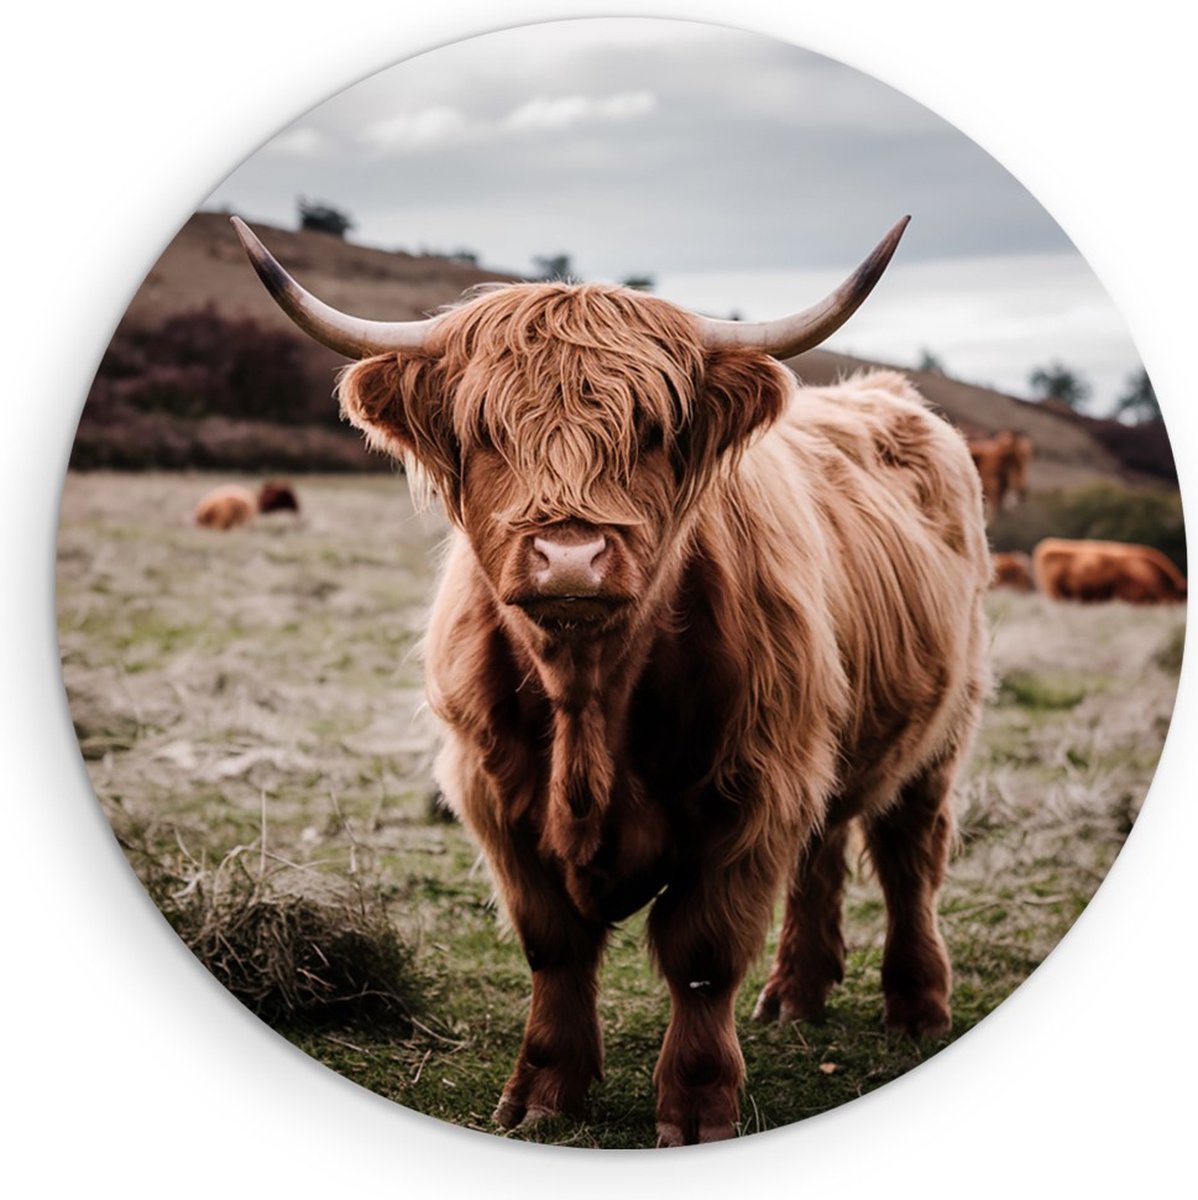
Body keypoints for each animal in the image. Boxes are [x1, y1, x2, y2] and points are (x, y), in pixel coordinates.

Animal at [233, 215, 991, 1146]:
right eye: (486, 431)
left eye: (652, 429)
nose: (569, 556)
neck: (589, 697)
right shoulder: (495, 796)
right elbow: (554, 947)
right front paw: (542, 1095)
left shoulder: (750, 792)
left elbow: (701, 957)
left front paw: (698, 1111)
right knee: (823, 848)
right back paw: (796, 995)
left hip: (939, 732)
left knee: (908, 857)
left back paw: (917, 1008)